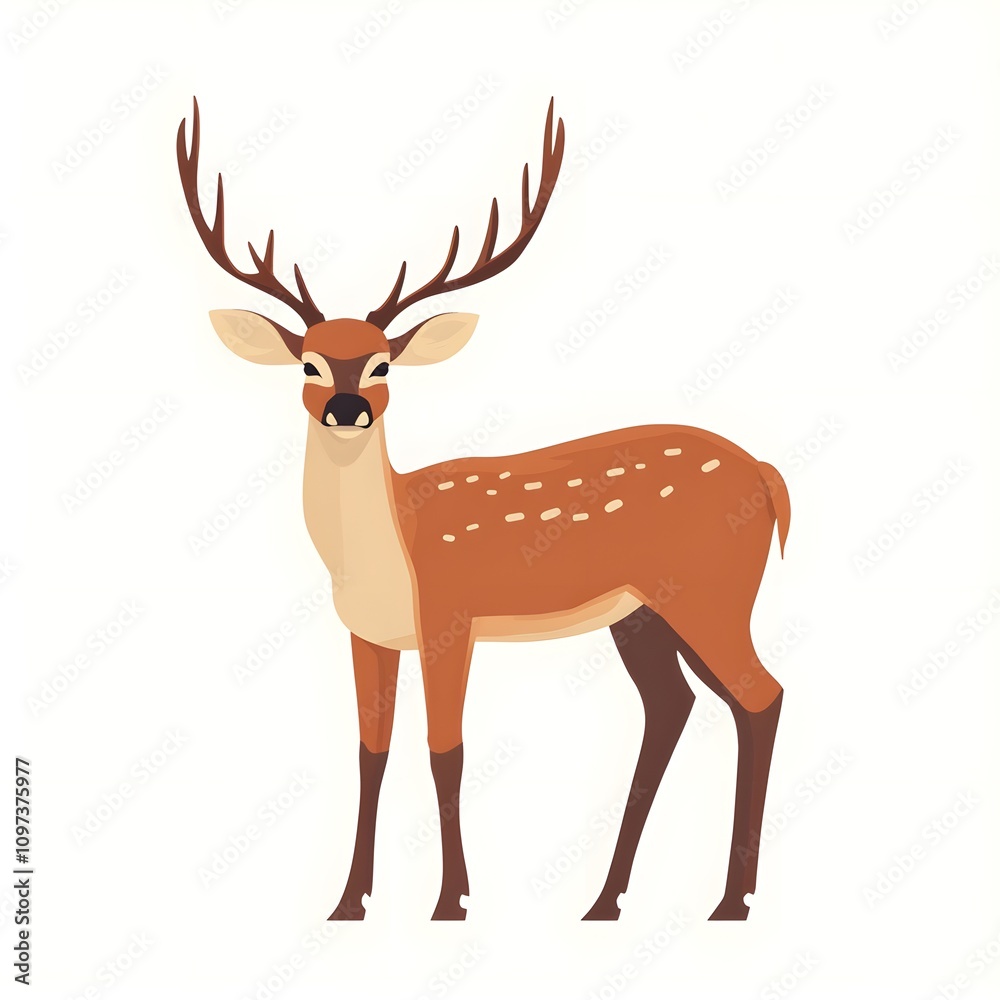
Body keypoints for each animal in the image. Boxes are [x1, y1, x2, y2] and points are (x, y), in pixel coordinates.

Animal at [177, 96, 790, 922]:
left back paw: (730, 902)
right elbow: (370, 752)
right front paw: (349, 902)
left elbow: (447, 752)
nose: (346, 408)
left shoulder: (450, 616)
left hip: (710, 589)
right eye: (308, 363)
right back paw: (606, 900)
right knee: (673, 707)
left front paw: (451, 902)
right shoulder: (368, 636)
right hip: (642, 611)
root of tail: (767, 475)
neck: (390, 547)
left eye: (383, 363)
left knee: (760, 697)